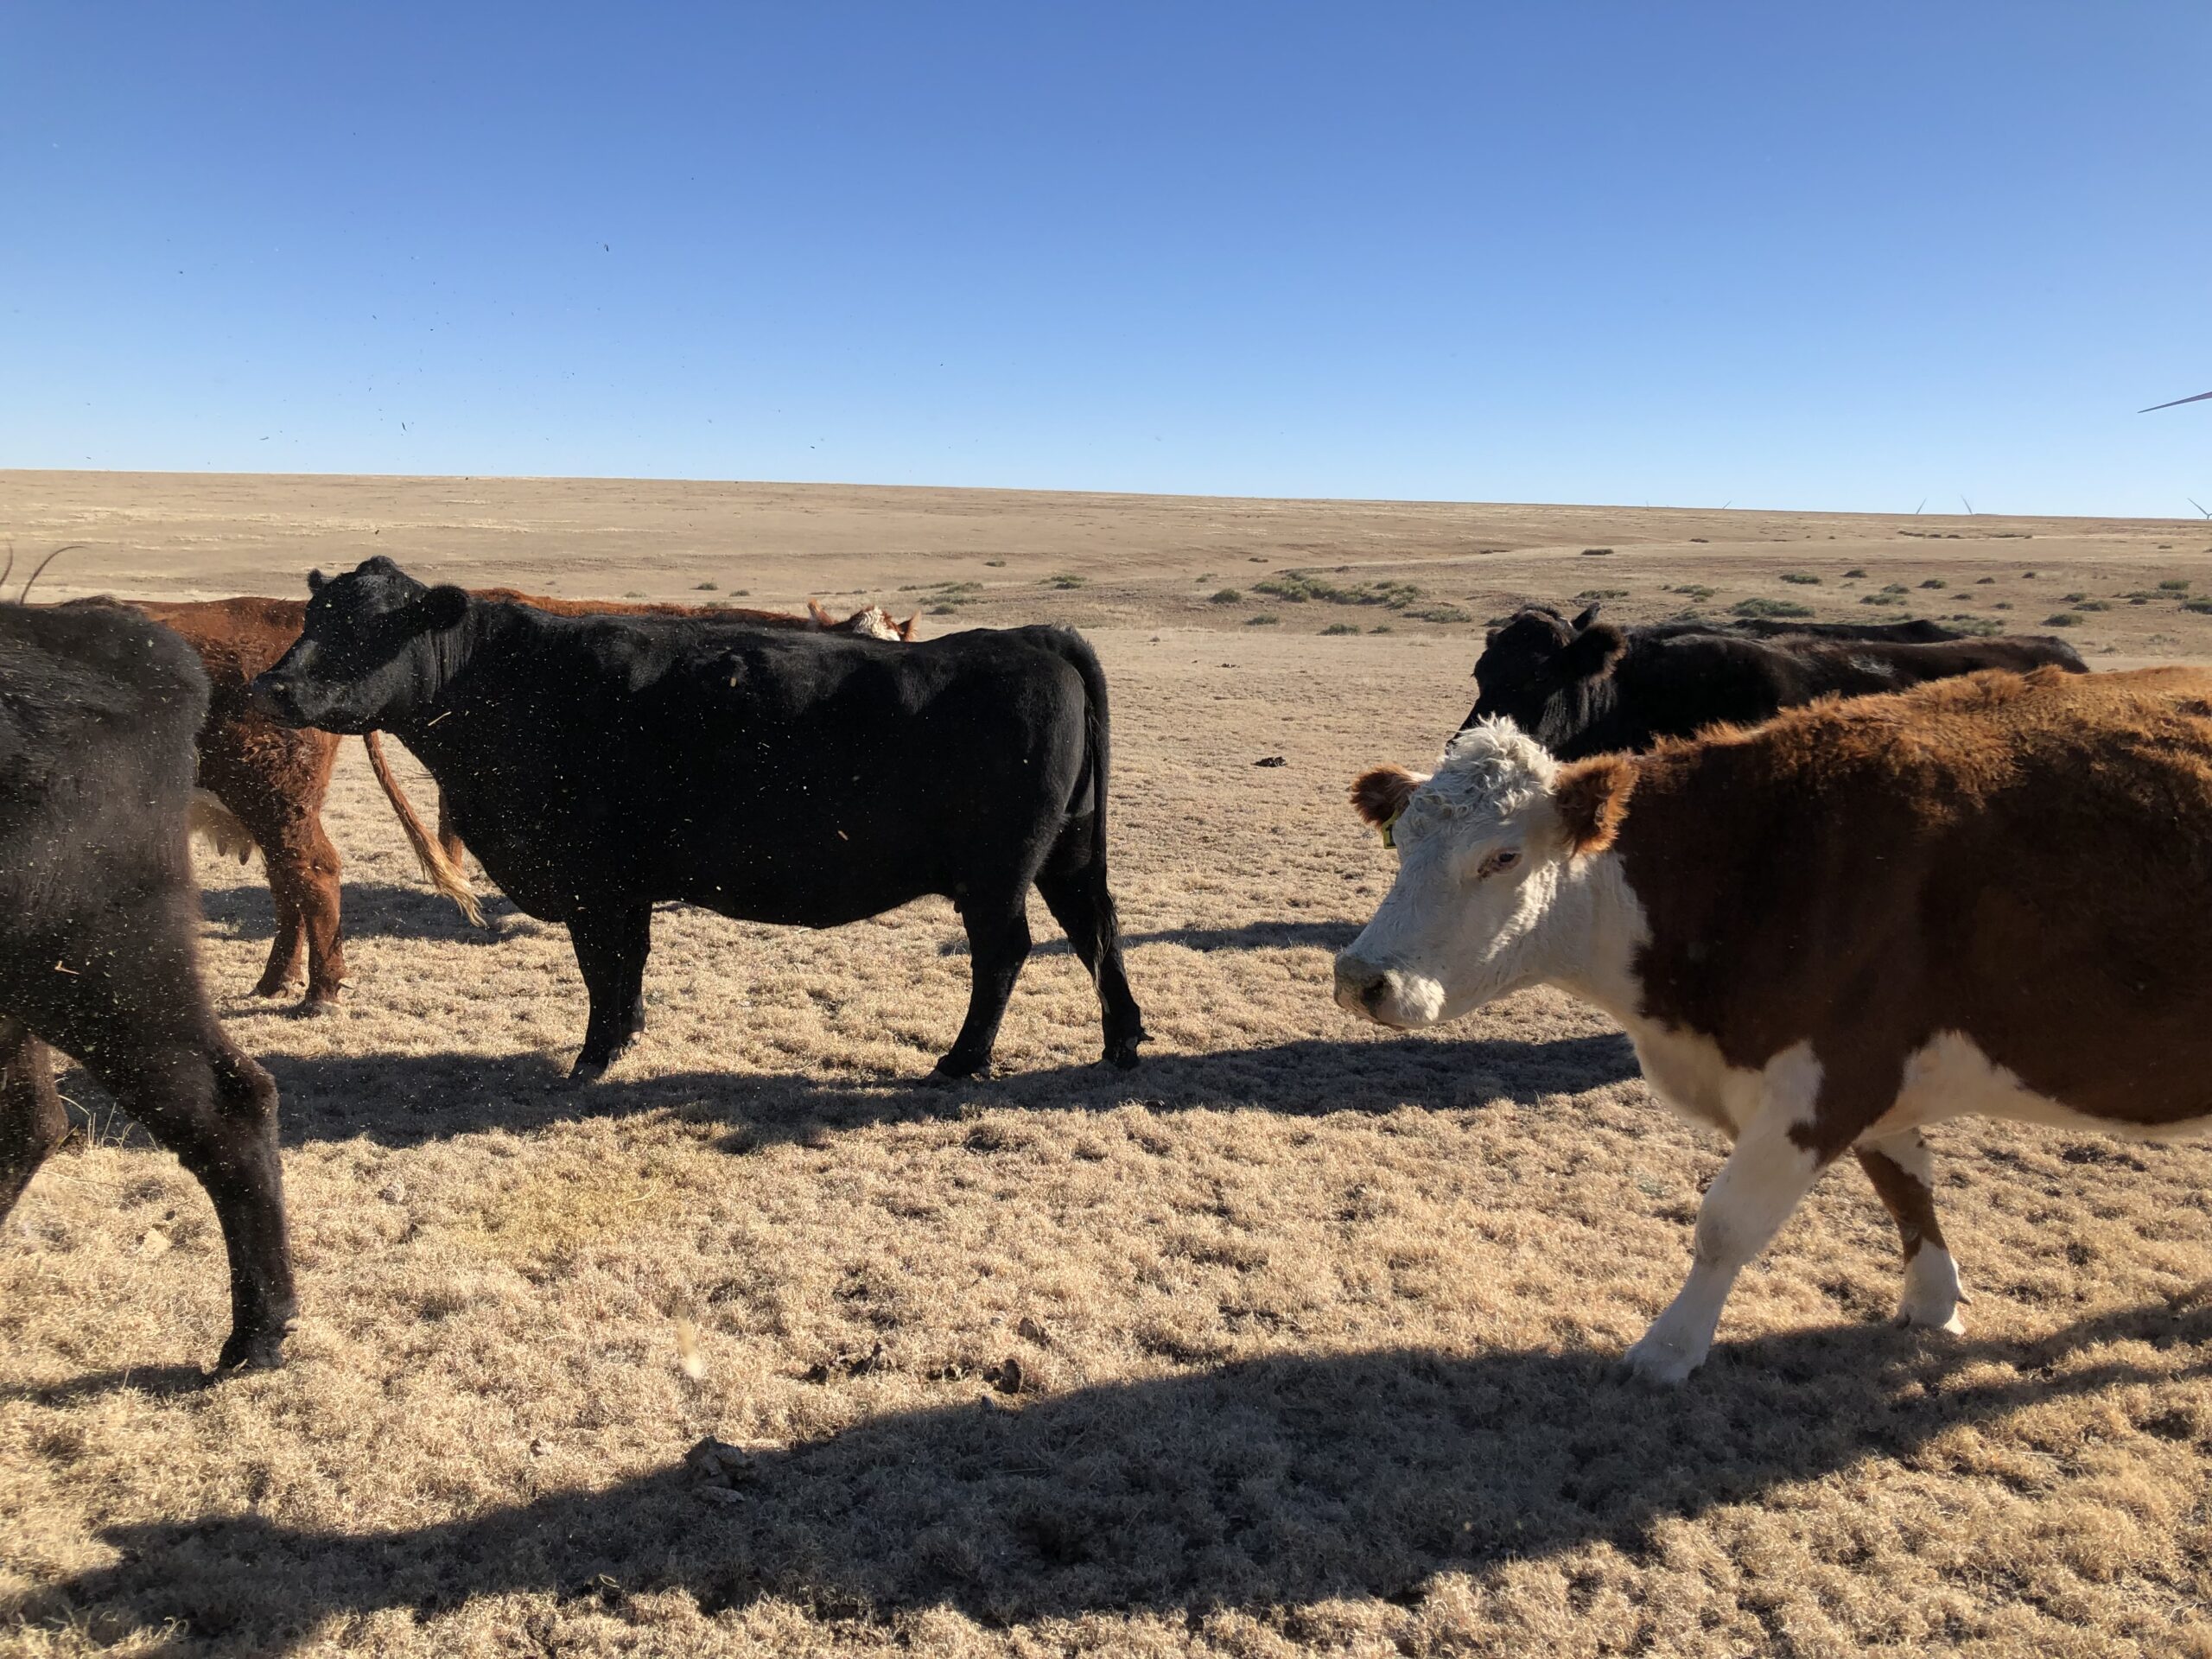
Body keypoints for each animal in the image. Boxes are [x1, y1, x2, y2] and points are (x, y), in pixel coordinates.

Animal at [246, 558, 1145, 1082]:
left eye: (372, 626)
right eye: (313, 618)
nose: (272, 687)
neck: (510, 682)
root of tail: (1033, 637)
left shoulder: (595, 883)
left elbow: (604, 969)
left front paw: (593, 1058)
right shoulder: (627, 886)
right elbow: (629, 968)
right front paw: (626, 1038)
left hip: (997, 874)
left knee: (1007, 953)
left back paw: (960, 1062)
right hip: (1066, 852)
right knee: (1096, 929)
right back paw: (1121, 1042)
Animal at [1334, 665, 2212, 1382]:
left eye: (1503, 857)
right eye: (1400, 841)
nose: (1360, 978)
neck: (1757, 863)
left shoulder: (1831, 1077)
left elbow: (1726, 1223)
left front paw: (1669, 1350)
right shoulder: (1875, 1083)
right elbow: (1905, 1188)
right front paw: (1934, 1304)